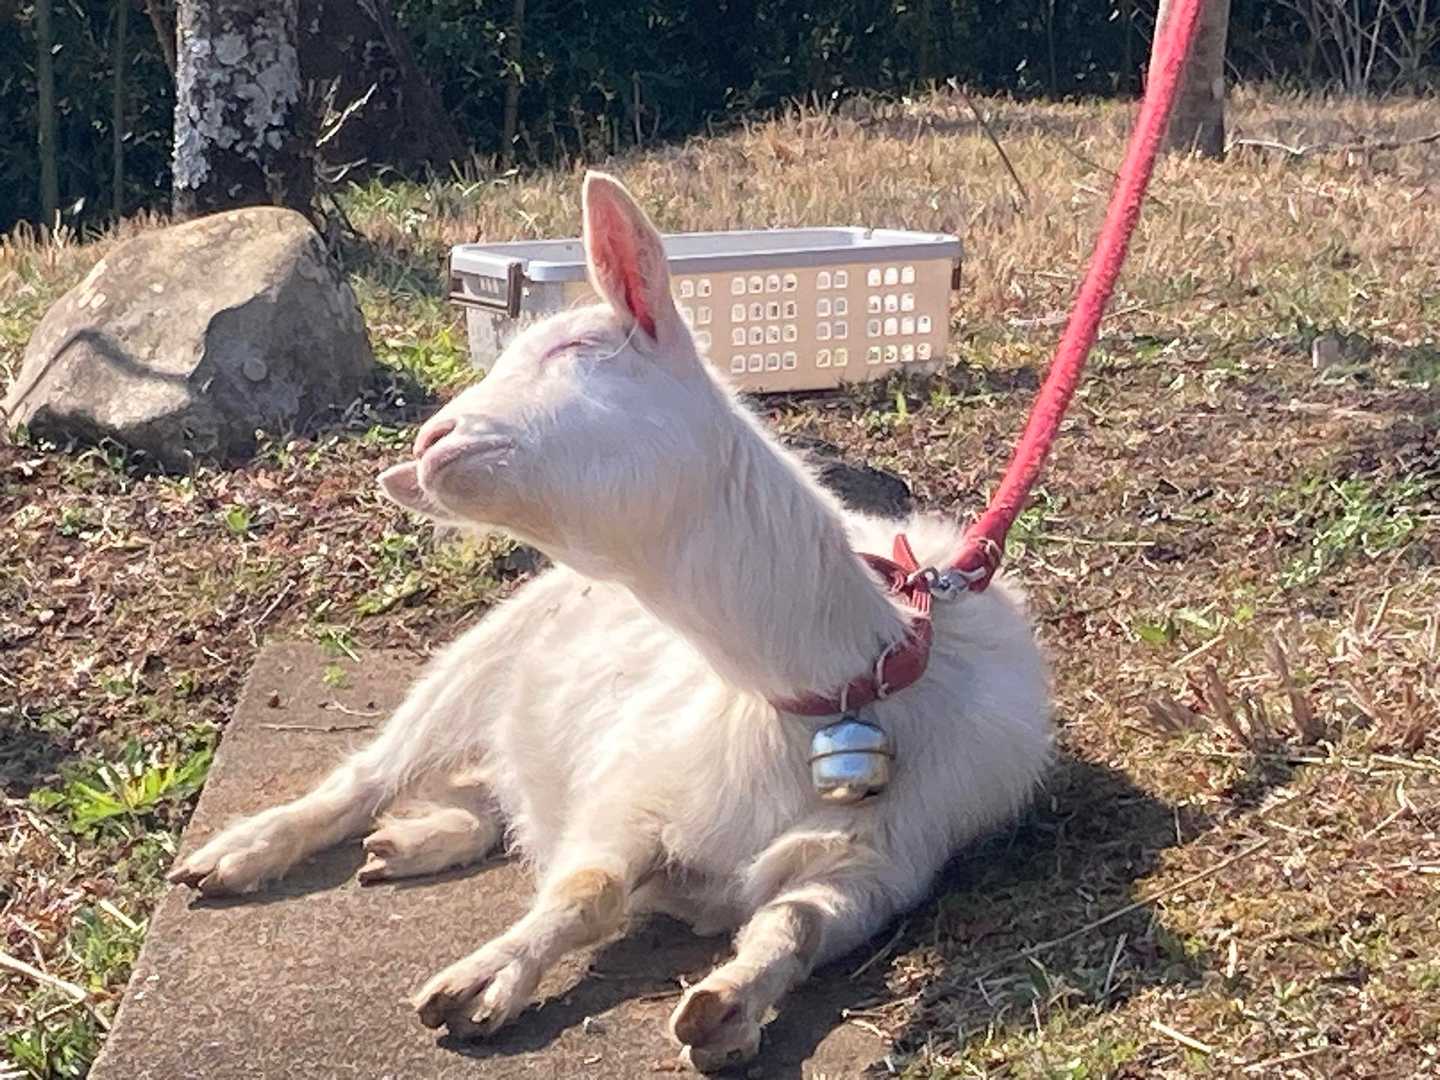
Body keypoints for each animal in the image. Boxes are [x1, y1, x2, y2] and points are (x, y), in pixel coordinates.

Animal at [168, 172, 1054, 1072]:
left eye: (574, 347)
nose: (430, 440)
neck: (827, 691)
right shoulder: (630, 792)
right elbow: (587, 890)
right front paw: (484, 982)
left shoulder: (878, 868)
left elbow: (795, 925)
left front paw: (728, 1008)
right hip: (472, 665)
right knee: (368, 777)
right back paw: (241, 854)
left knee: (488, 793)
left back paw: (415, 840)